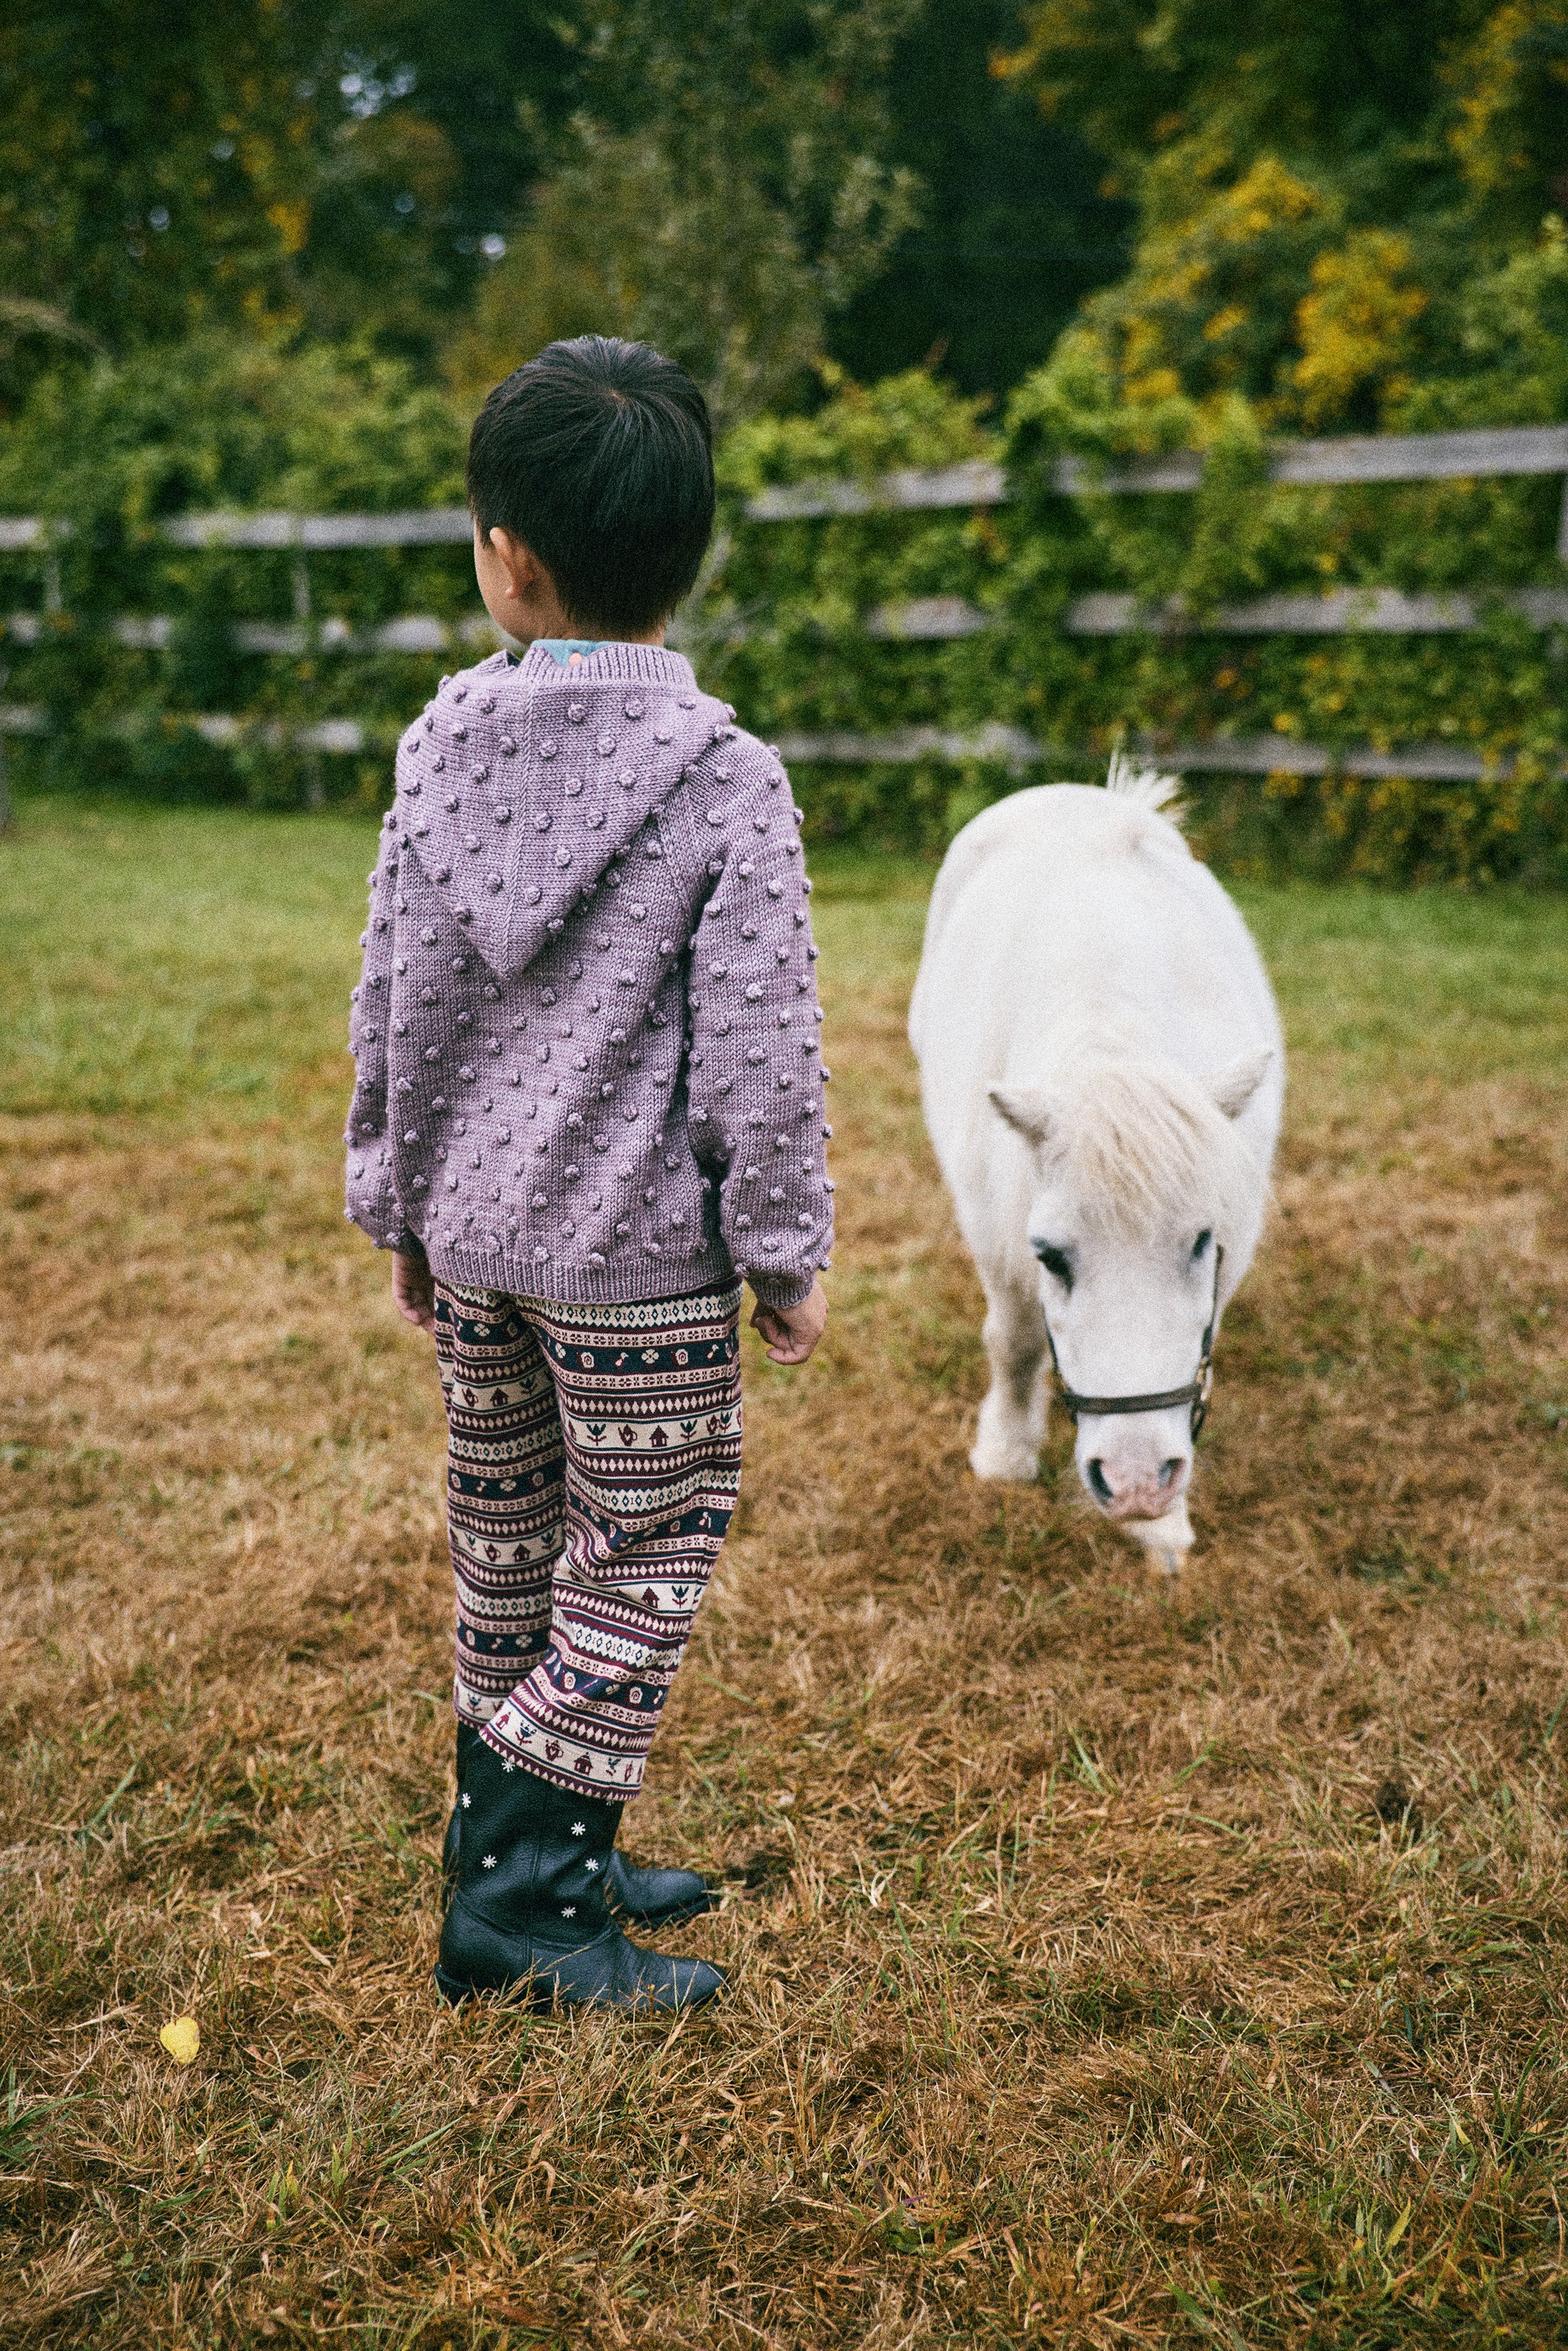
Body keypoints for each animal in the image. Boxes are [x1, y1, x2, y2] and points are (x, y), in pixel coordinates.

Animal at [912, 761, 1279, 1570]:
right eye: (1051, 1256)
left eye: (1200, 1245)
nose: (1139, 1484)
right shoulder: (995, 1233)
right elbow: (1015, 1340)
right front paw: (1005, 1454)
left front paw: (1163, 1529)